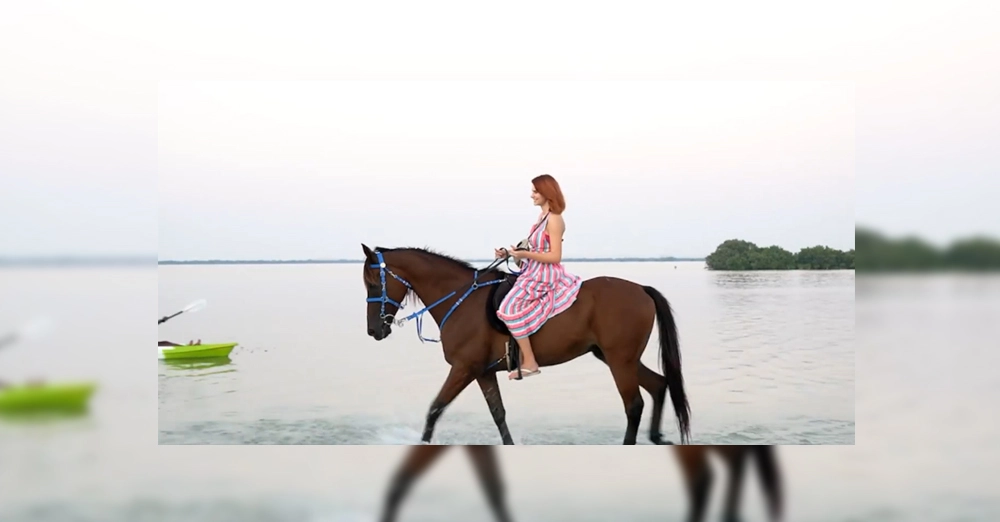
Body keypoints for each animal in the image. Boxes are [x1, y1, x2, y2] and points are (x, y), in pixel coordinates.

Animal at [364, 244, 692, 442]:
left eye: (372, 282)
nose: (373, 330)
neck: (462, 299)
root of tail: (641, 289)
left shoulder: (464, 368)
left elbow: (435, 408)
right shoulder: (483, 372)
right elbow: (498, 414)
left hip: (619, 360)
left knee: (634, 405)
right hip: (617, 358)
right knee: (658, 384)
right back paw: (655, 436)